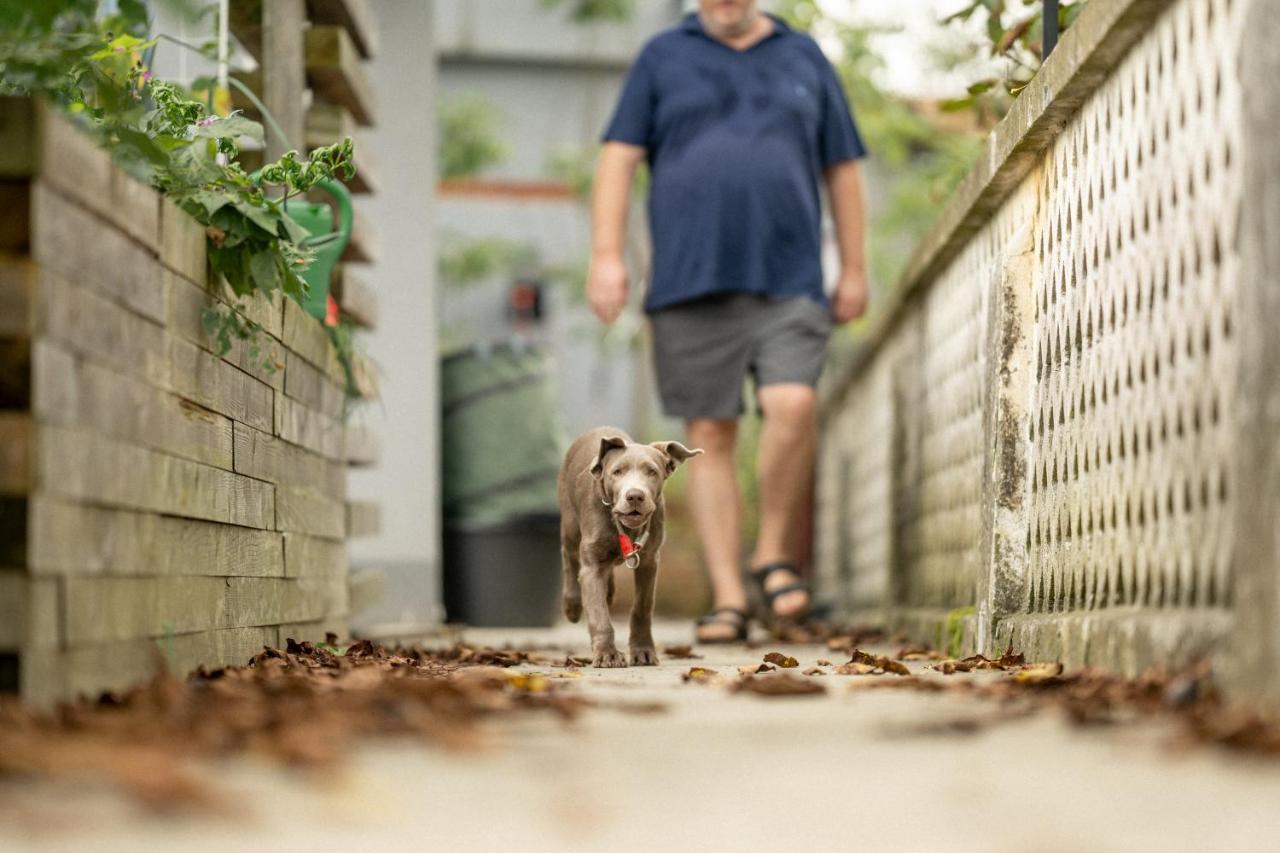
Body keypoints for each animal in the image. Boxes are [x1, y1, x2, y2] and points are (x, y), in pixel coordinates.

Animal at [558, 425, 706, 666]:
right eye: (617, 472)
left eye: (652, 472)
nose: (635, 496)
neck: (624, 528)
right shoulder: (592, 566)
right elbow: (599, 614)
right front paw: (607, 654)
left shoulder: (649, 561)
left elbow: (642, 608)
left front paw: (643, 651)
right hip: (570, 523)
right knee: (569, 558)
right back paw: (572, 605)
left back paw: (608, 593)